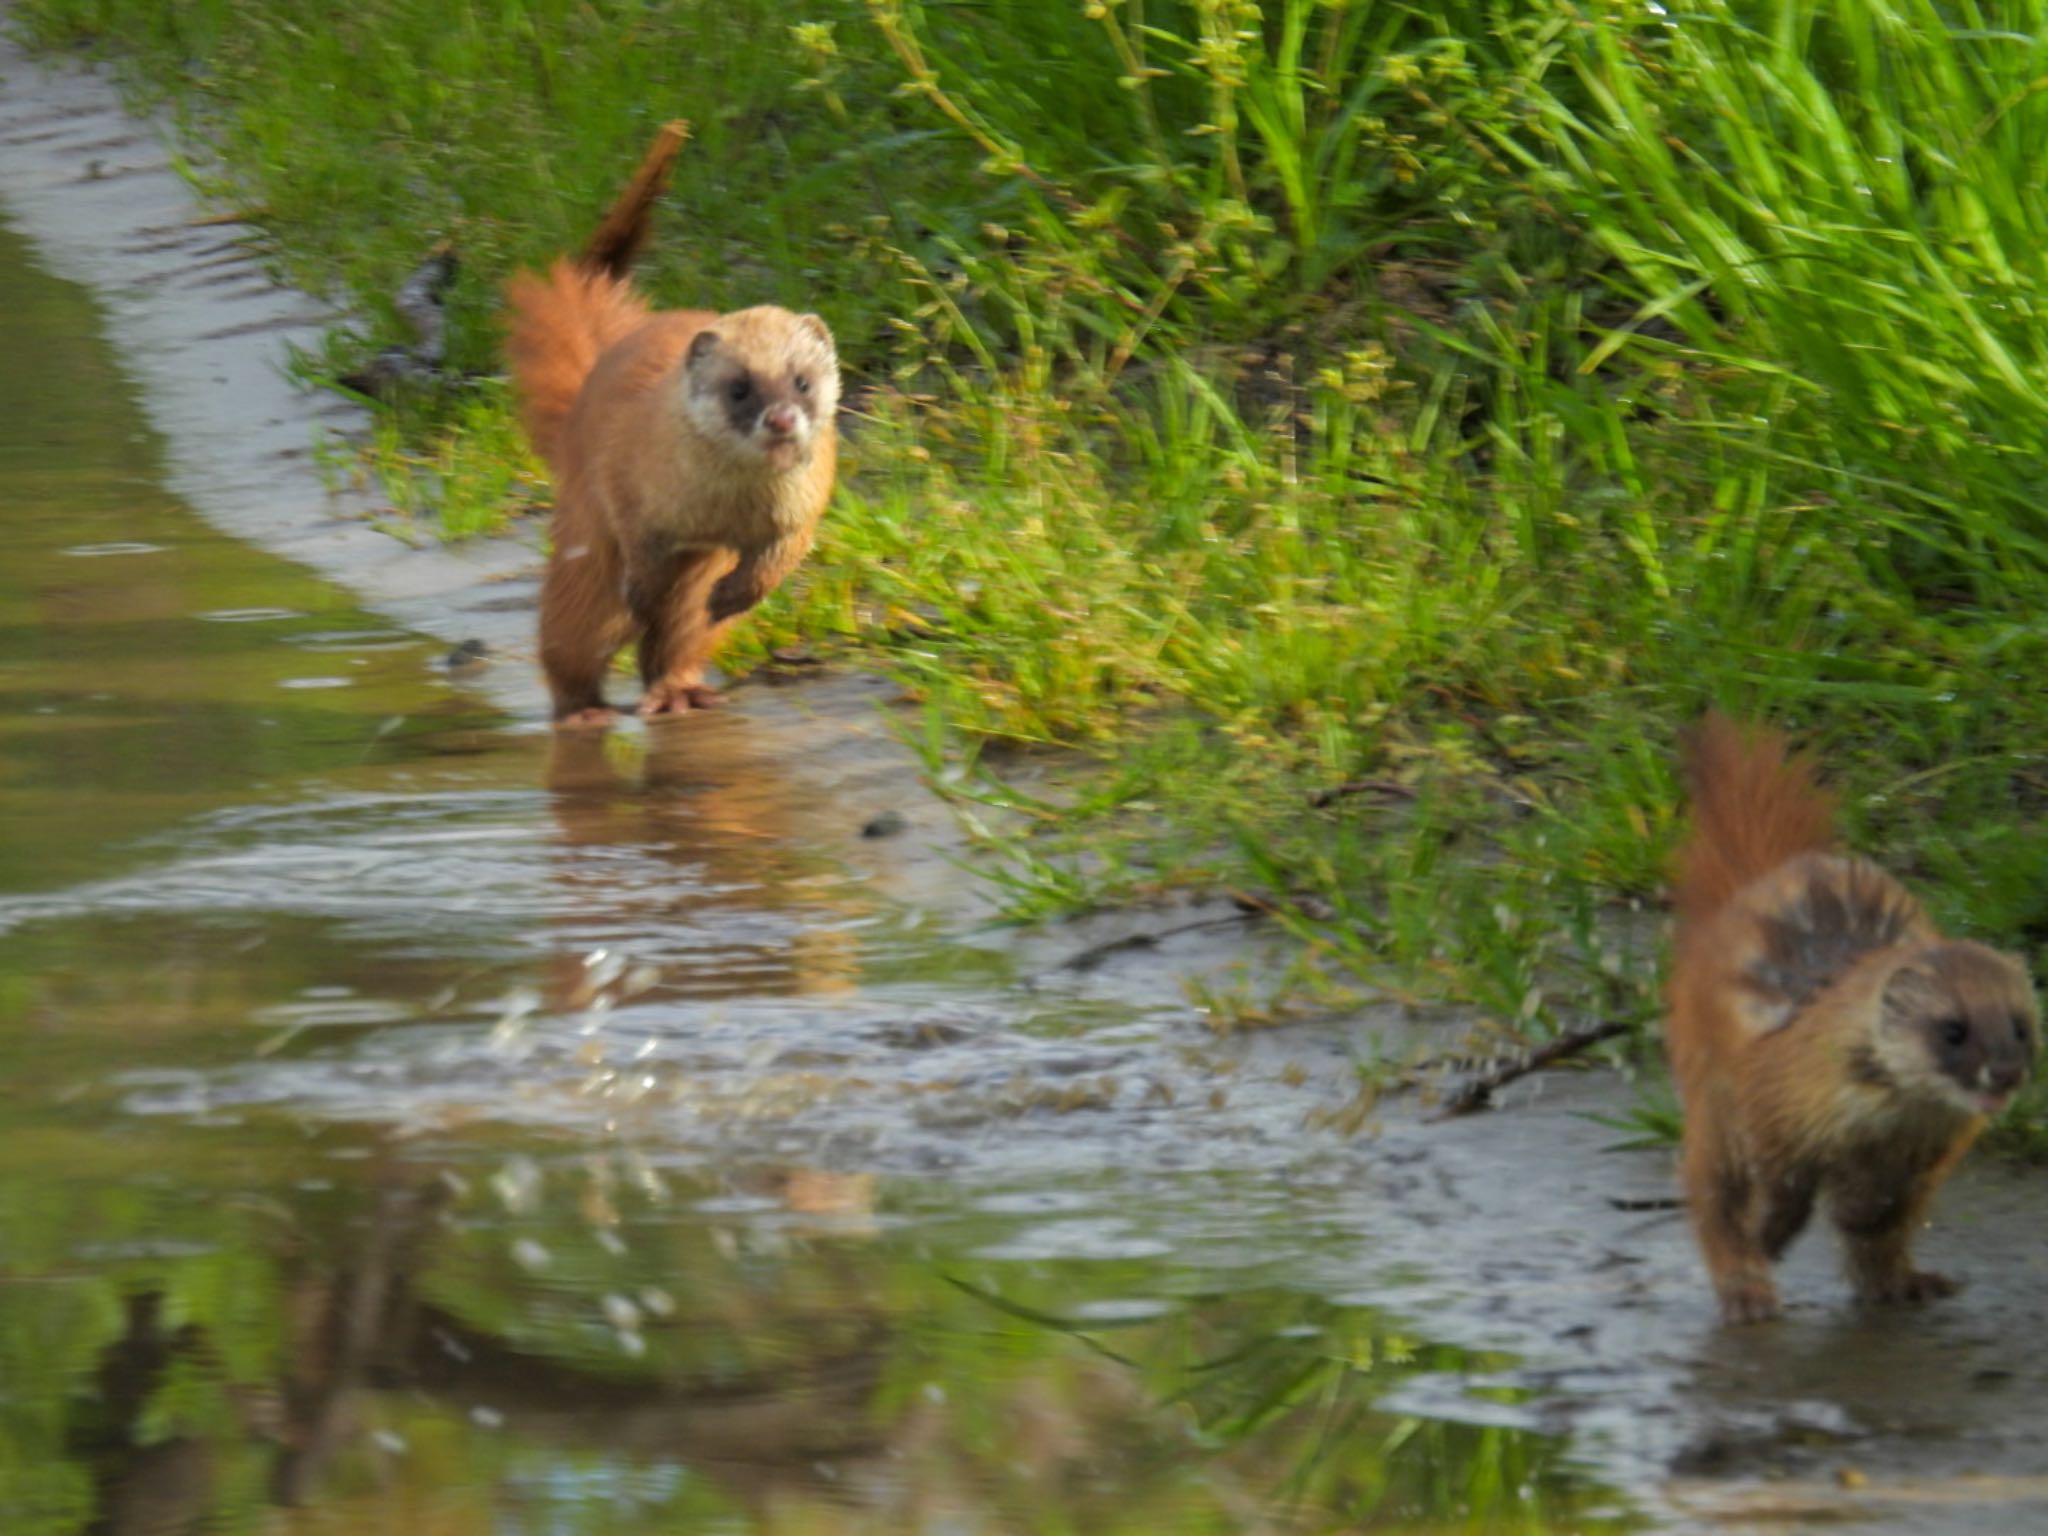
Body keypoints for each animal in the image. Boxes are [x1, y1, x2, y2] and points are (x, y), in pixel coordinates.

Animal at [503, 123, 839, 724]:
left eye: (802, 381)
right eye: (739, 387)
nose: (780, 419)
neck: (724, 509)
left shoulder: (804, 503)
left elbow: (780, 559)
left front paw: (737, 595)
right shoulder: (628, 490)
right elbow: (638, 554)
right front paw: (640, 592)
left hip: (697, 579)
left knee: (677, 639)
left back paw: (681, 693)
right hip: (582, 548)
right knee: (571, 636)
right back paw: (584, 711)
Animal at [1662, 708, 2031, 1327]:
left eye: (2022, 1026)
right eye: (1952, 1029)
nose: (2004, 1072)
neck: (1873, 1126)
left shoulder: (1925, 1153)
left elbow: (1882, 1216)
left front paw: (1874, 1239)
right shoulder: (1770, 1107)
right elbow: (1776, 1192)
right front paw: (1768, 1241)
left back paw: (1910, 1284)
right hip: (1709, 1094)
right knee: (1713, 1198)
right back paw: (1747, 1296)